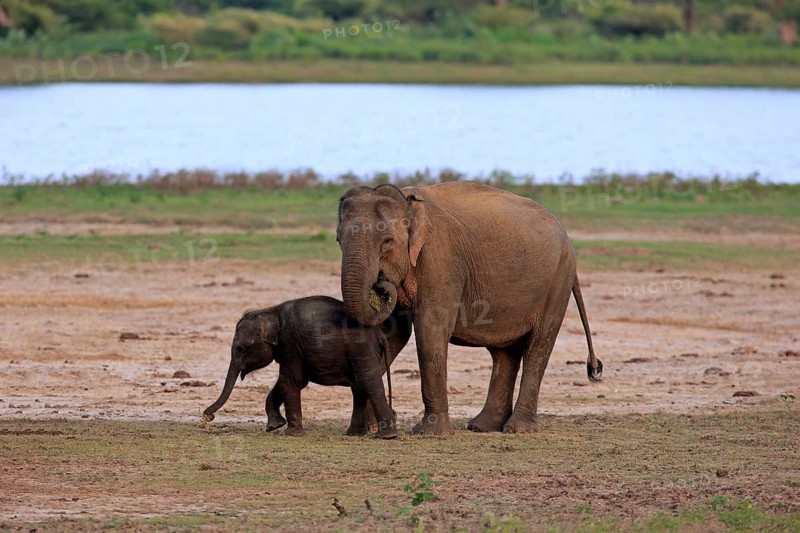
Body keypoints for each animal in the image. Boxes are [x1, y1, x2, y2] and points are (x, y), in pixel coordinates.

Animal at [203, 296, 399, 439]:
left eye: (241, 349)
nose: (207, 417)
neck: (271, 311)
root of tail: (379, 334)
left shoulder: (290, 343)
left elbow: (289, 381)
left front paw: (292, 434)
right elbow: (292, 382)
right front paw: (274, 426)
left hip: (362, 350)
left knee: (369, 384)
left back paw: (386, 436)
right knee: (359, 387)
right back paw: (354, 434)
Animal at [336, 181, 603, 435]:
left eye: (387, 242)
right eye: (339, 241)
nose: (381, 284)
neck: (407, 200)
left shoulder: (441, 261)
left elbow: (430, 330)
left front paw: (429, 434)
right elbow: (393, 334)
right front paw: (365, 430)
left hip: (558, 281)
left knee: (538, 347)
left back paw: (518, 429)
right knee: (505, 353)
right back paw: (483, 427)